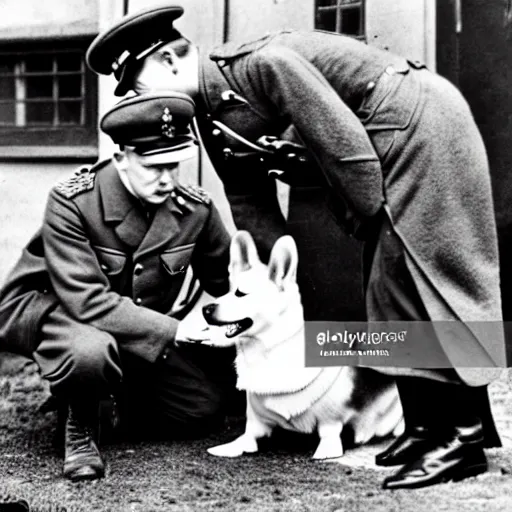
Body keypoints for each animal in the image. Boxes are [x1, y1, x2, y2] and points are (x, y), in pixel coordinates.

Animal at [200, 232, 404, 460]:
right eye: (227, 290)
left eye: (240, 293)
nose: (205, 309)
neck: (263, 352)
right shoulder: (256, 421)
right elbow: (248, 435)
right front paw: (230, 447)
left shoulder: (331, 421)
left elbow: (329, 433)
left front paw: (325, 451)